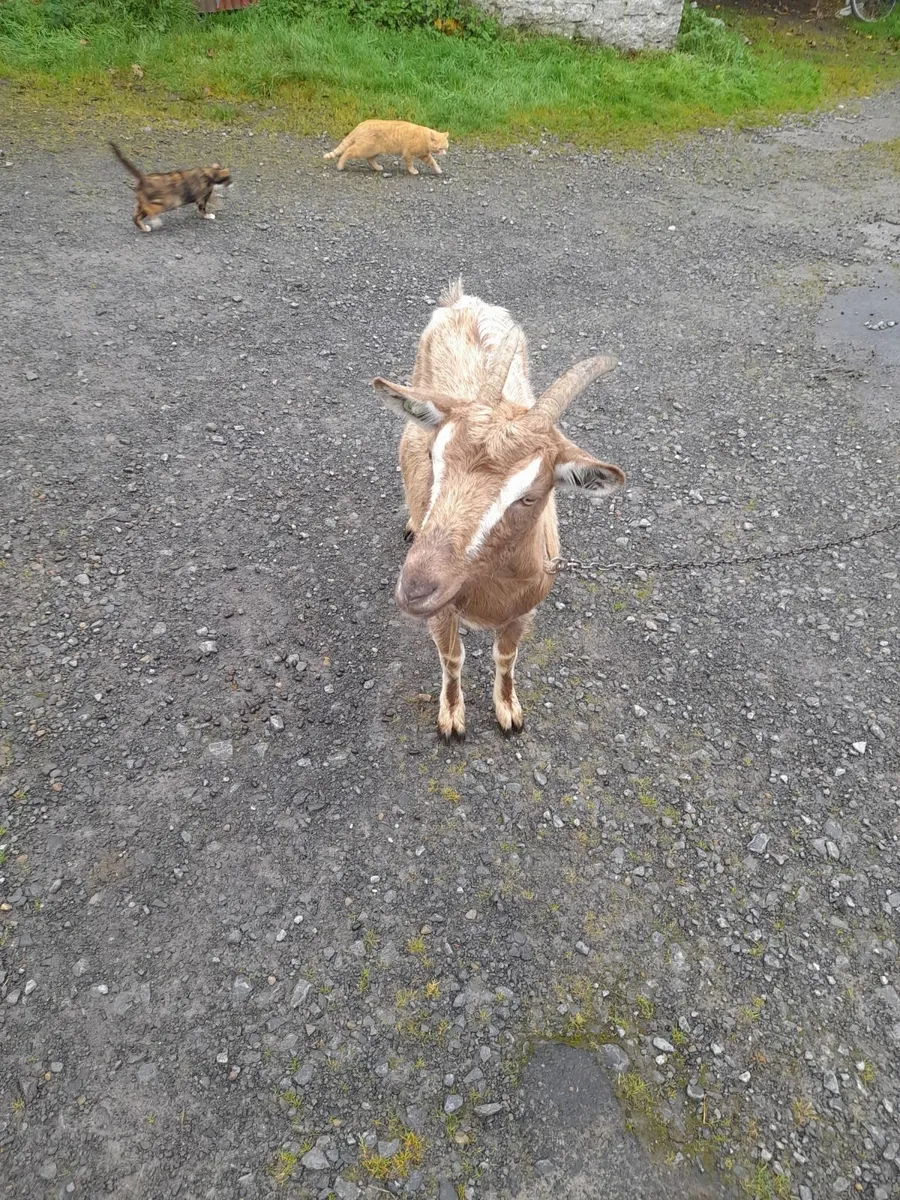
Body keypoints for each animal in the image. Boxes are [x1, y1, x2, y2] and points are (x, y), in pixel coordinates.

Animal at [374, 280, 625, 740]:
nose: (415, 588)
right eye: (435, 455)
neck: (489, 591)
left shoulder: (523, 611)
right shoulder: (442, 613)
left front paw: (508, 710)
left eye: (529, 496)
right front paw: (452, 717)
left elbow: (506, 657)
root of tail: (462, 300)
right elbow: (452, 657)